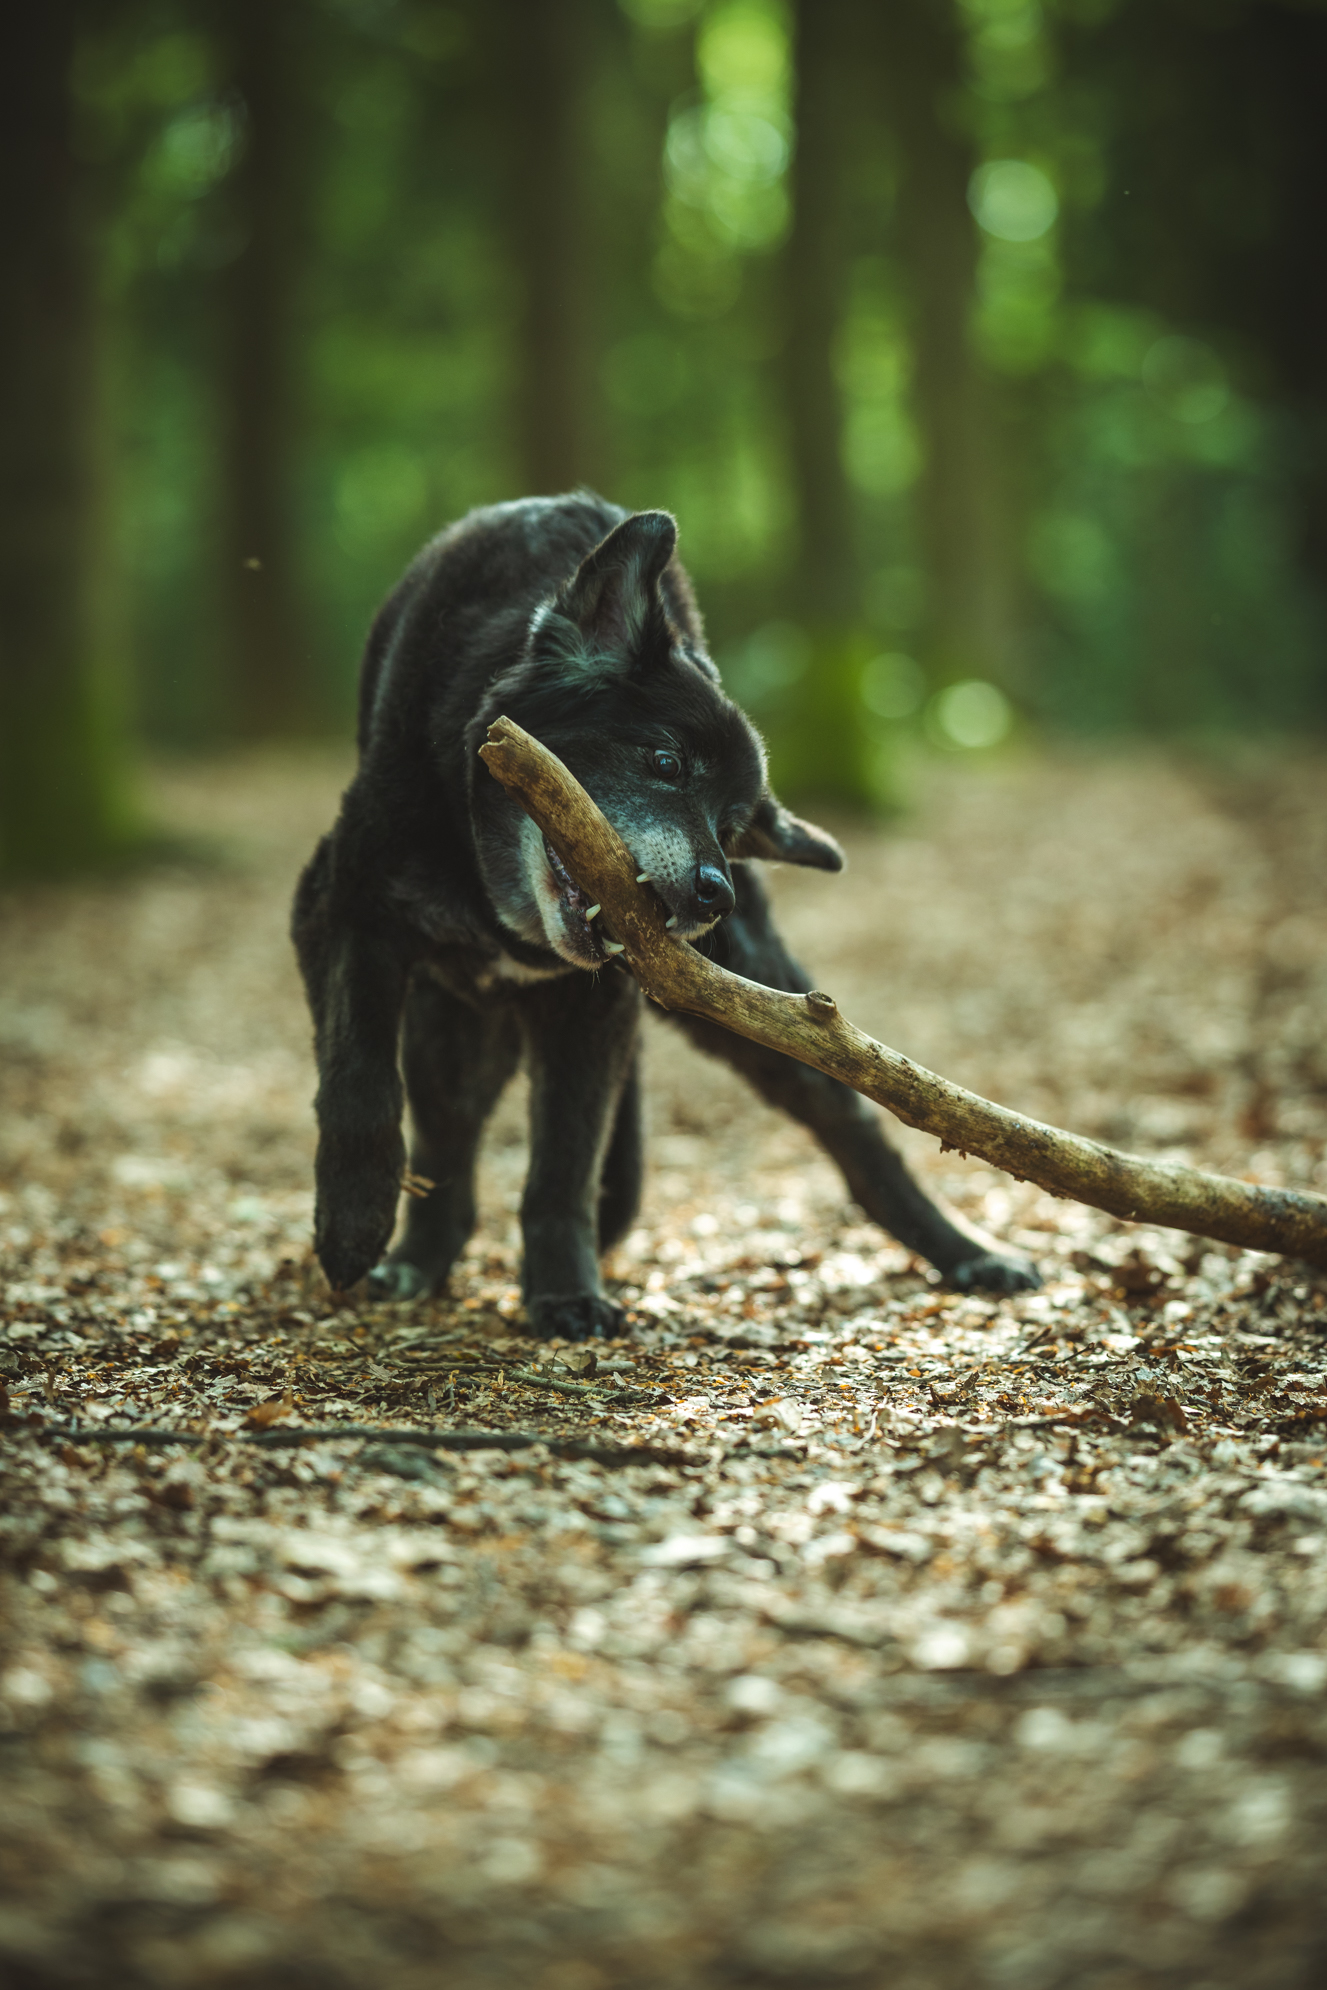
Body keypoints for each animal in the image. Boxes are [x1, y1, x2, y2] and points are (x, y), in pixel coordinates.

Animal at [290, 495, 1034, 1337]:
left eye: (731, 824)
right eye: (666, 761)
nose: (718, 895)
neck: (488, 889)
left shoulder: (592, 1011)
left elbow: (564, 1163)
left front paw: (564, 1294)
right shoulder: (339, 912)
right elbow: (359, 1085)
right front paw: (352, 1224)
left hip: (768, 1013)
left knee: (853, 1122)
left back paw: (965, 1251)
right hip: (448, 1029)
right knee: (446, 1142)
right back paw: (416, 1260)